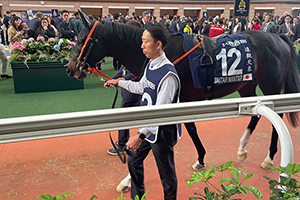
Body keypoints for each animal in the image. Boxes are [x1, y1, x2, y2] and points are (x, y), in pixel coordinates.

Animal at [67, 10, 300, 171]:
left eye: (82, 40)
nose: (70, 68)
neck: (162, 52)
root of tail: (279, 38)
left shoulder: (179, 97)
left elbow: (188, 128)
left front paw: (200, 159)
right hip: (247, 85)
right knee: (255, 114)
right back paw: (242, 149)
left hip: (270, 85)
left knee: (277, 114)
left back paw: (269, 157)